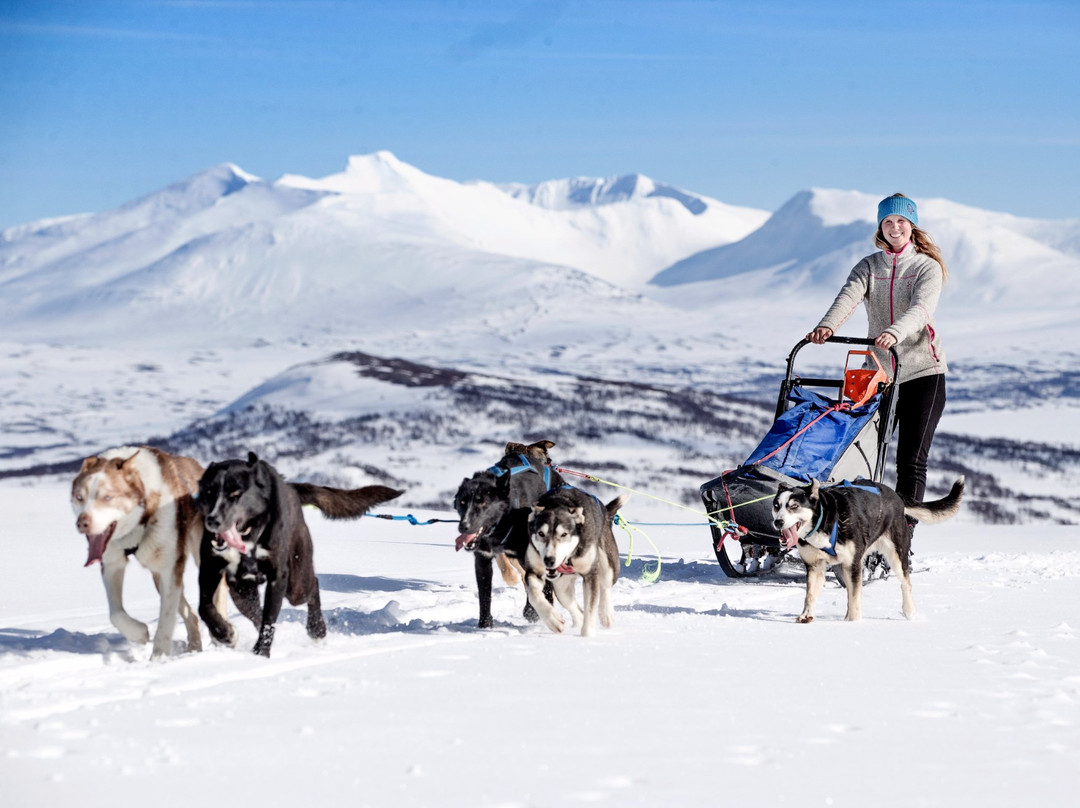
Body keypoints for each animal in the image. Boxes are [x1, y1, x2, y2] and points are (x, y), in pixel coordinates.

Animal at [197, 453, 401, 656]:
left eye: (236, 494)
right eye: (209, 492)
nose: (212, 520)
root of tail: (291, 488)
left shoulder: (278, 577)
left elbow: (269, 620)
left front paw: (261, 654)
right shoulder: (210, 570)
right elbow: (204, 608)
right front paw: (225, 634)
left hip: (296, 584)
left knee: (312, 586)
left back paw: (317, 629)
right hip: (242, 590)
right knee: (255, 614)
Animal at [451, 442, 561, 626]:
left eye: (483, 503)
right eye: (462, 502)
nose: (463, 527)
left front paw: (533, 611)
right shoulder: (483, 558)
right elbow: (484, 595)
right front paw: (485, 624)